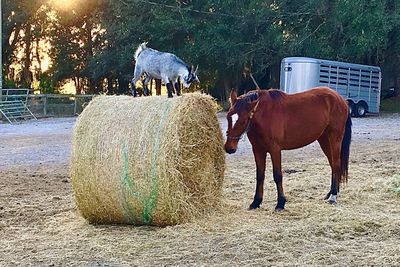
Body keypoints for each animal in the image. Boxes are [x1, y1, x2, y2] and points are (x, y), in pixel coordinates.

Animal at [223, 87, 352, 211]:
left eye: (243, 120)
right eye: (228, 116)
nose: (229, 148)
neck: (265, 114)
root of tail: (341, 100)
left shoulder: (275, 150)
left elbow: (277, 175)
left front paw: (280, 203)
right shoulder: (258, 150)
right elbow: (260, 176)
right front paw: (256, 202)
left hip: (334, 138)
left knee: (336, 164)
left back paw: (333, 196)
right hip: (324, 140)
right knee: (333, 165)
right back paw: (330, 193)